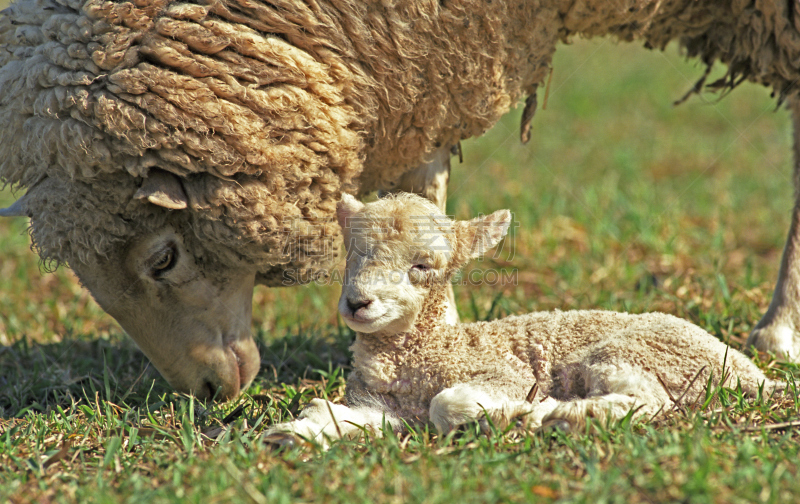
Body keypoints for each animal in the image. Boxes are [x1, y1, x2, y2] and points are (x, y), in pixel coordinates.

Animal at [266, 193, 784, 444]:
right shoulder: (388, 408)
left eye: (423, 265)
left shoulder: (504, 374)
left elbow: (445, 403)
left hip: (634, 351)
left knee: (647, 402)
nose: (358, 304)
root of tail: (750, 372)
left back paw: (548, 416)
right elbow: (340, 415)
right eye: (353, 253)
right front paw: (293, 435)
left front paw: (501, 414)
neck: (431, 348)